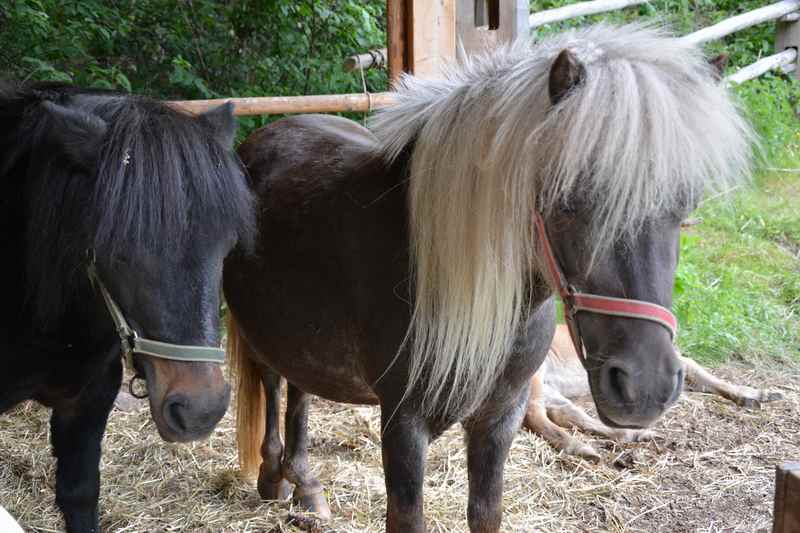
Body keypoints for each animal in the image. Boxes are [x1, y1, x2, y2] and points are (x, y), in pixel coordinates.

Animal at [222, 23, 752, 528]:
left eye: (686, 205)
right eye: (566, 202)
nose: (644, 386)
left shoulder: (501, 416)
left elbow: (486, 512)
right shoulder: (403, 424)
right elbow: (408, 516)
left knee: (299, 389)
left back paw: (305, 485)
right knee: (275, 383)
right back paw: (277, 477)